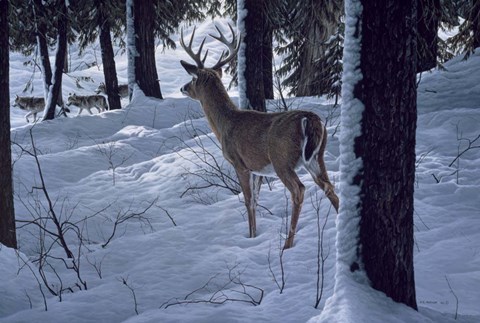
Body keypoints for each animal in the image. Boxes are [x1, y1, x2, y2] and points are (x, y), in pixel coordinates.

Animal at [178, 24, 340, 251]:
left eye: (193, 79)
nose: (183, 87)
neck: (225, 123)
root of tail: (310, 119)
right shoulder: (258, 170)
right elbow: (255, 200)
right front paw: (254, 236)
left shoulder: (239, 163)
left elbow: (248, 200)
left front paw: (251, 236)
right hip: (317, 157)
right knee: (329, 188)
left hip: (282, 159)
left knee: (298, 190)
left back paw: (287, 244)